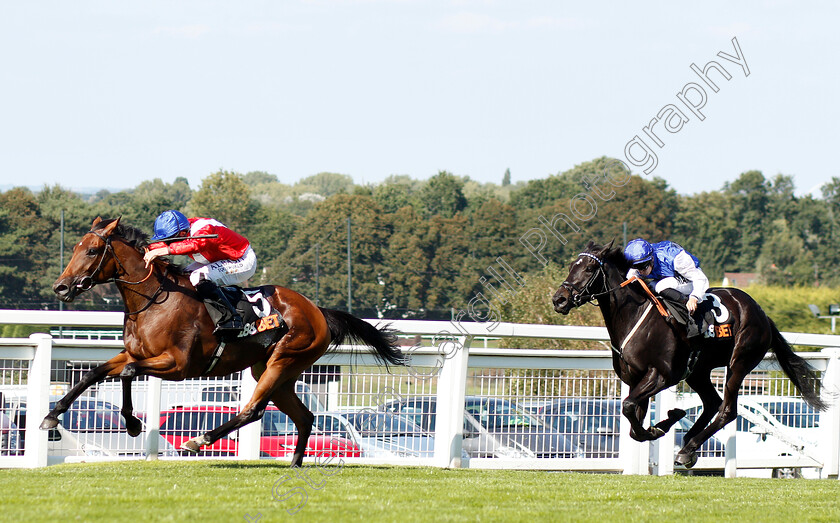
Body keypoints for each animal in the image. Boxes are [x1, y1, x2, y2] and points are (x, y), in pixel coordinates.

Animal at [44, 217, 406, 466]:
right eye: (75, 248)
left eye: (92, 250)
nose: (61, 287)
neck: (154, 299)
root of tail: (317, 310)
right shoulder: (135, 353)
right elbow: (96, 373)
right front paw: (52, 415)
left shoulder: (178, 365)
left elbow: (129, 373)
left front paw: (132, 423)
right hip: (274, 370)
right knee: (303, 417)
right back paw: (294, 464)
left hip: (284, 359)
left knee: (253, 409)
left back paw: (199, 440)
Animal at [552, 242, 828, 466]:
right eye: (572, 266)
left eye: (589, 268)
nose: (559, 299)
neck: (635, 315)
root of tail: (762, 313)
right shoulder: (636, 379)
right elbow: (633, 424)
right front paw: (664, 423)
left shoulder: (663, 375)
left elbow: (629, 407)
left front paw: (664, 423)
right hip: (698, 371)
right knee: (712, 403)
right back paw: (688, 446)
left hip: (739, 361)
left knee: (727, 410)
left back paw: (688, 448)